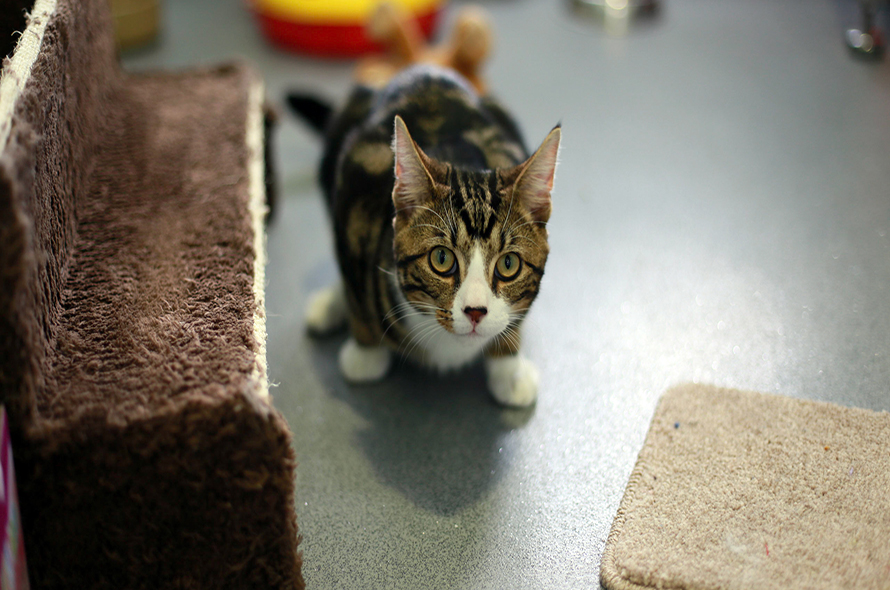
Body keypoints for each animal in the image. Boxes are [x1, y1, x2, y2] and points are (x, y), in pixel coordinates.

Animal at [302, 65, 560, 408]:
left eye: (508, 264)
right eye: (441, 258)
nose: (475, 312)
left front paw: (509, 368)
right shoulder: (356, 181)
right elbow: (354, 279)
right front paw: (365, 353)